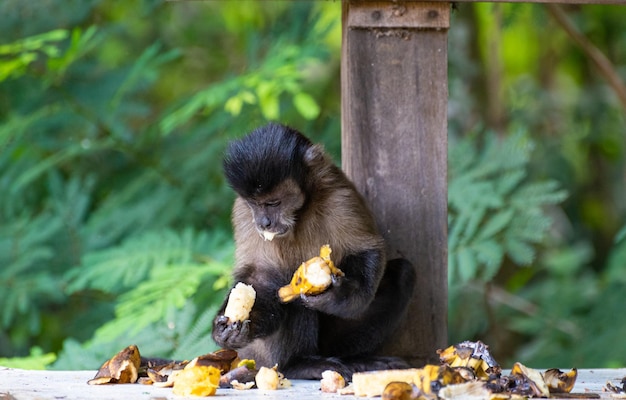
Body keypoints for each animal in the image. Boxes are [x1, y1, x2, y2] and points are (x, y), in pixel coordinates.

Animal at [213, 123, 414, 380]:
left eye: (273, 203)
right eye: (254, 204)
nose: (264, 222)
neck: (300, 213)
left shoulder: (338, 195)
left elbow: (367, 249)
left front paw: (340, 295)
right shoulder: (242, 211)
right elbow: (260, 277)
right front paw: (234, 329)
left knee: (403, 274)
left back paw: (355, 359)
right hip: (263, 355)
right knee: (288, 290)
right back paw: (298, 364)